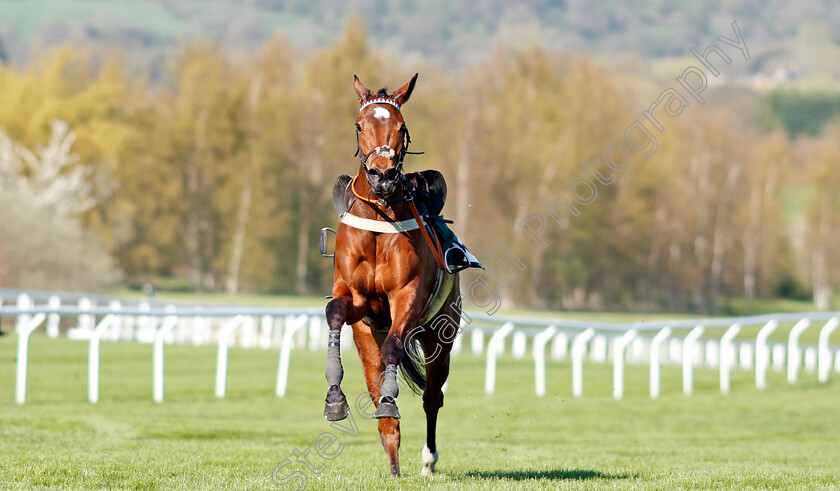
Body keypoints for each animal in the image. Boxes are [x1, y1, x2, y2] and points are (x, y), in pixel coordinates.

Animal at [324, 75, 462, 478]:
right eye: (359, 125)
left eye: (401, 127)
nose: (382, 175)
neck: (379, 217)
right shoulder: (355, 300)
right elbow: (334, 312)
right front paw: (334, 399)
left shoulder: (408, 297)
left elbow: (394, 349)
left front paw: (390, 401)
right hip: (367, 334)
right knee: (376, 388)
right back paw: (393, 462)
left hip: (441, 333)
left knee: (432, 396)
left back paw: (427, 460)